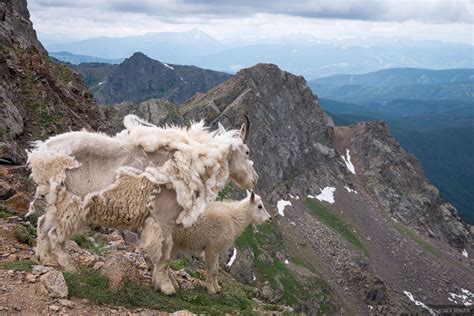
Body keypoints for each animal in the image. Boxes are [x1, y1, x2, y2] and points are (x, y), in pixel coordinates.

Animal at [27, 115, 258, 296]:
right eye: (247, 152)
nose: (254, 180)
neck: (194, 162)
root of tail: (41, 154)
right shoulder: (163, 219)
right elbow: (164, 254)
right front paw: (166, 287)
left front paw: (165, 281)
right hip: (73, 202)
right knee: (56, 234)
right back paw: (69, 267)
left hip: (57, 201)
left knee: (43, 223)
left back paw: (44, 259)